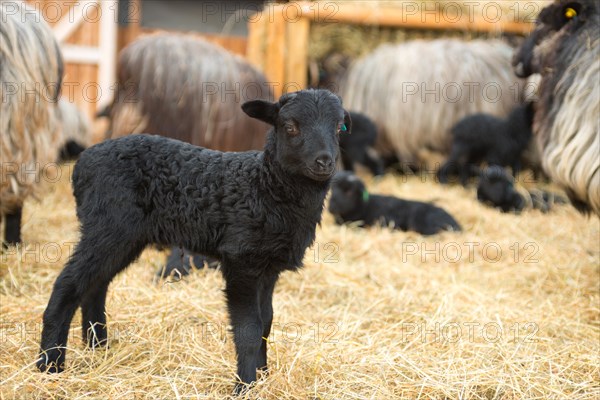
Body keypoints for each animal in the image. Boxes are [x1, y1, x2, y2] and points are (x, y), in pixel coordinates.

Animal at [36, 88, 352, 394]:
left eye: (340, 128)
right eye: (290, 127)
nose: (324, 162)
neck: (264, 188)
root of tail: (83, 163)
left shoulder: (268, 268)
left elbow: (267, 321)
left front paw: (263, 377)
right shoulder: (241, 260)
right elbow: (249, 329)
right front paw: (245, 386)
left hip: (123, 237)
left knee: (95, 286)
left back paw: (98, 349)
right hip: (108, 226)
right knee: (68, 284)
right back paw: (50, 365)